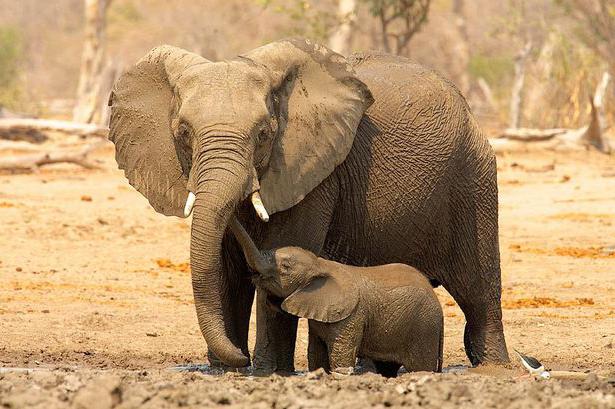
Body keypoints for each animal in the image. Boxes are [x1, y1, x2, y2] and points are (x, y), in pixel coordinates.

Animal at [231, 217, 442, 376]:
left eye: (285, 267)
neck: (321, 264)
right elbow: (316, 353)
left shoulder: (352, 316)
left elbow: (340, 353)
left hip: (423, 328)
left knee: (420, 365)